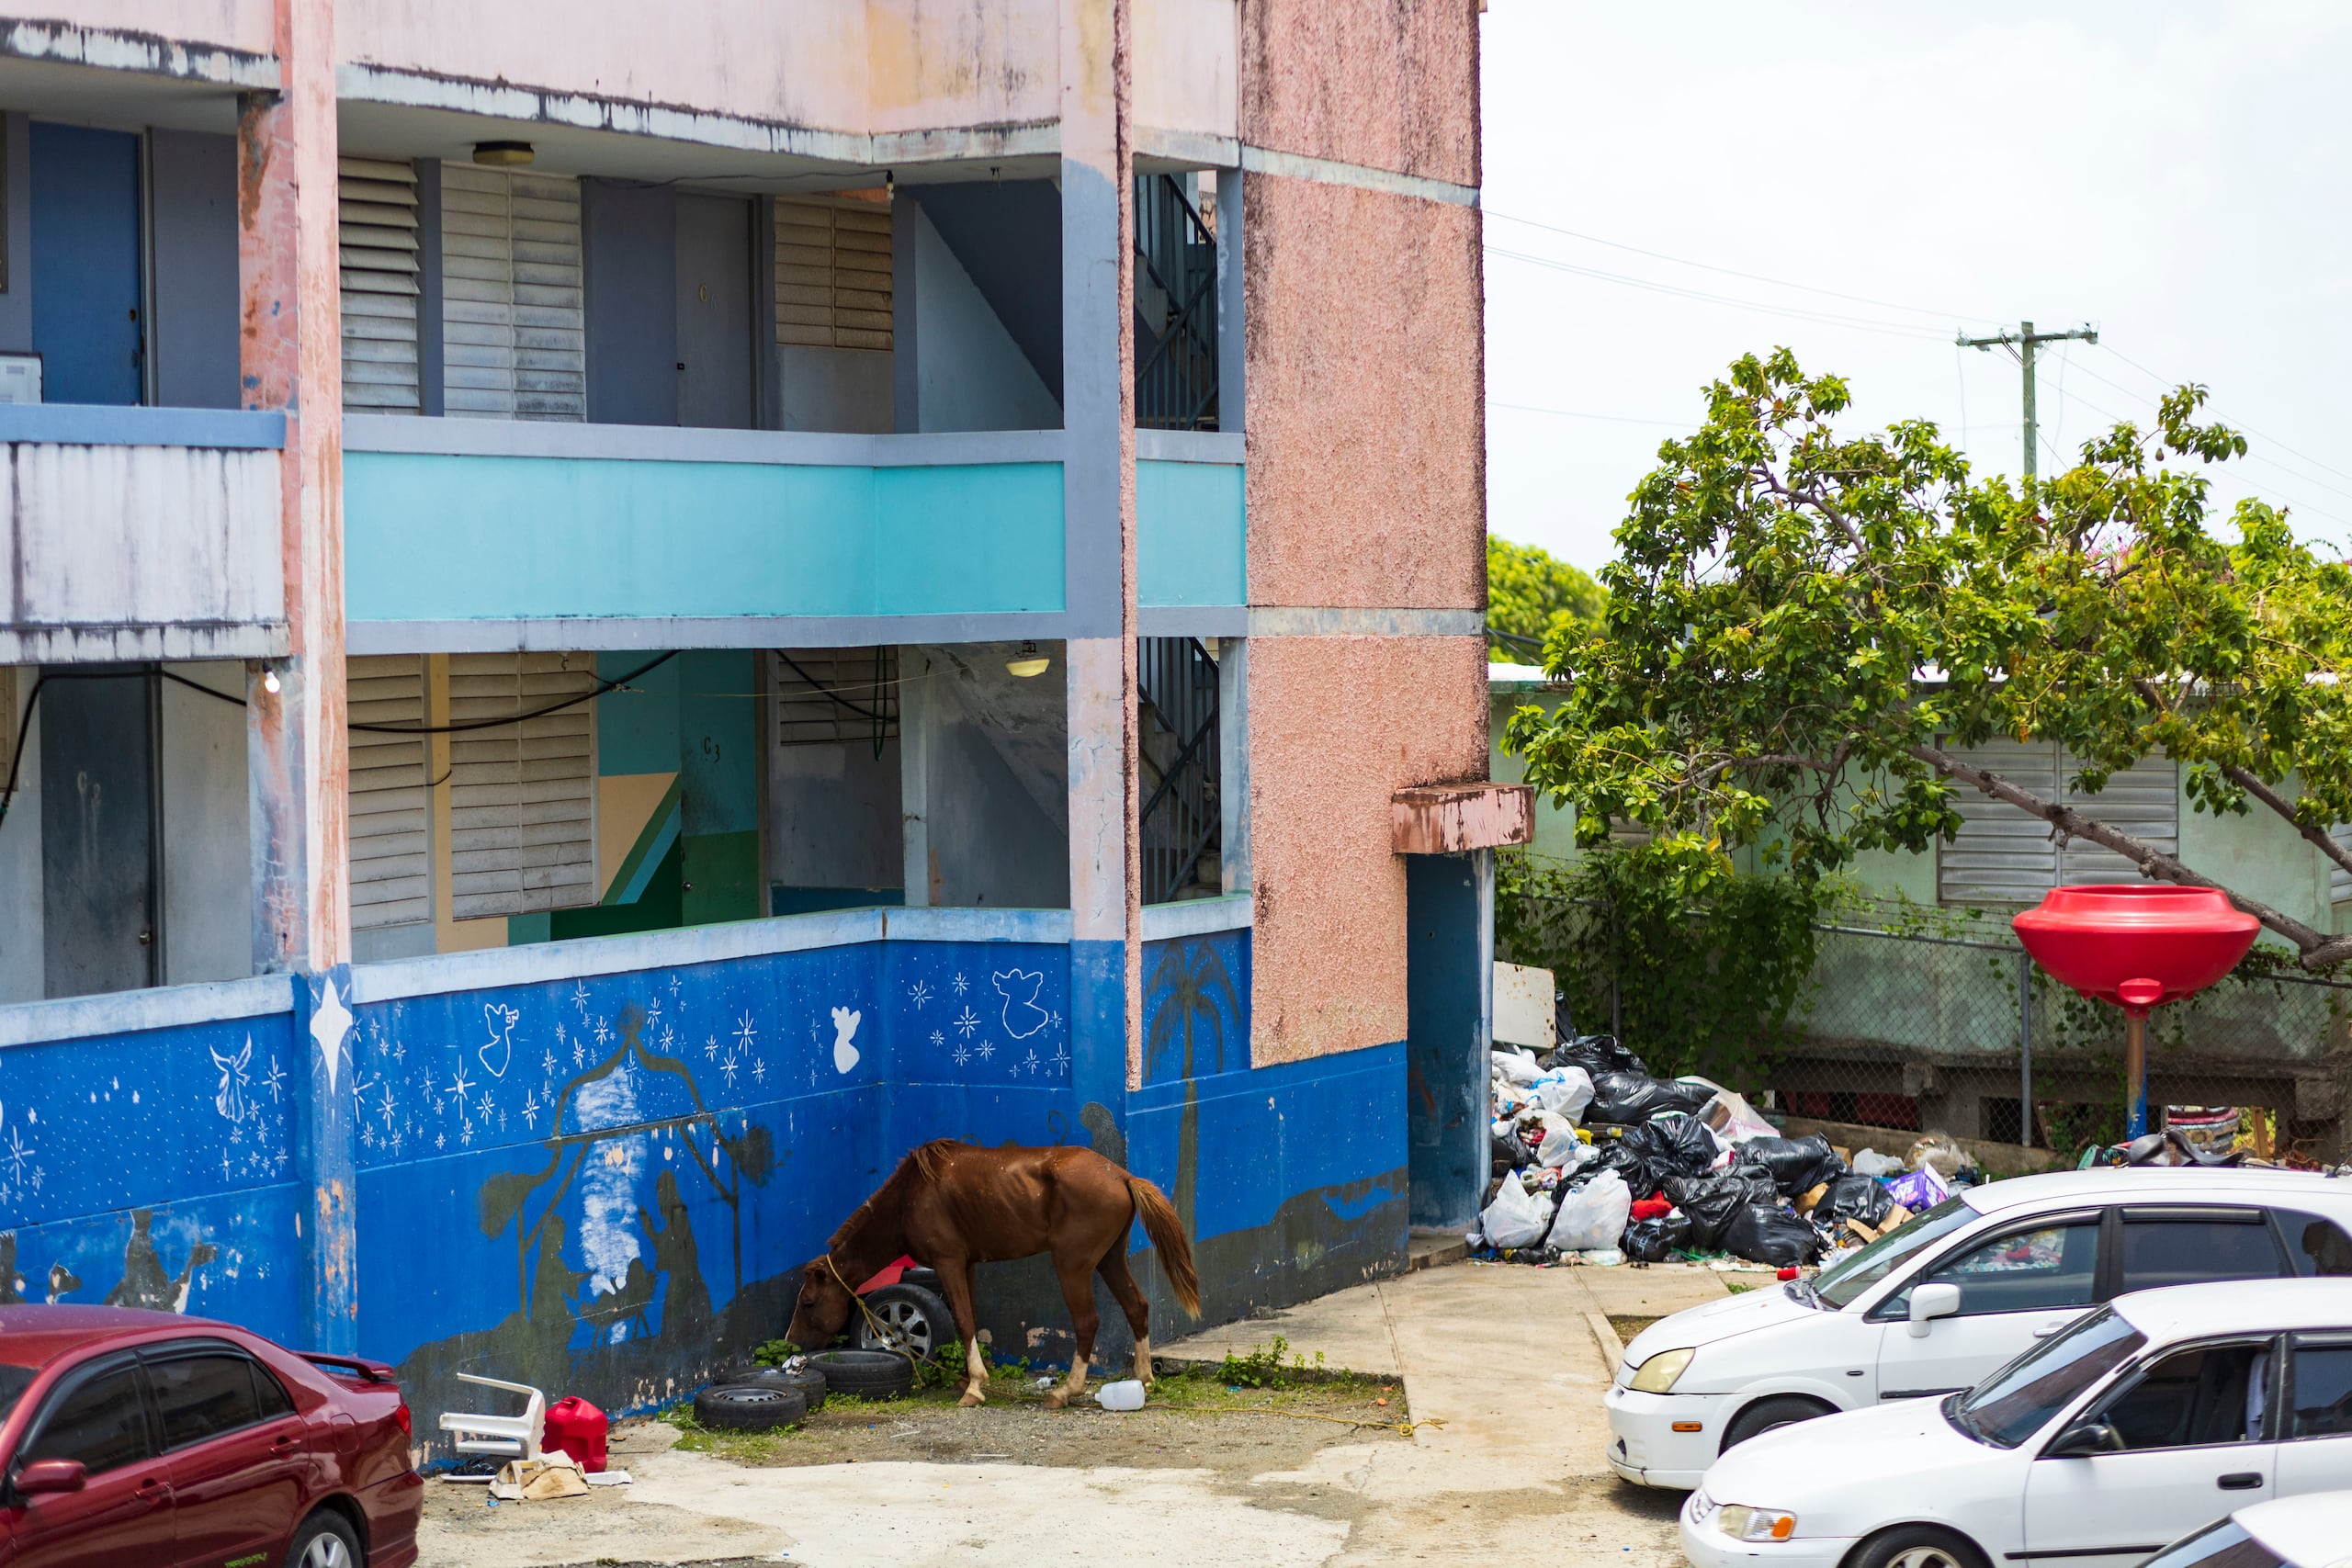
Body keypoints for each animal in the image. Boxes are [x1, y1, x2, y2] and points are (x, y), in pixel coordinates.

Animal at [786, 1142, 1204, 1410]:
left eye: (808, 1303)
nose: (792, 1344)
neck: (909, 1197)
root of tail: (1121, 1175)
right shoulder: (967, 1265)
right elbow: (966, 1317)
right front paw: (966, 1377)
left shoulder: (949, 1262)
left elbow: (965, 1321)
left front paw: (974, 1386)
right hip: (1110, 1260)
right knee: (1137, 1307)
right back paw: (1144, 1378)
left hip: (1073, 1266)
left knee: (1087, 1322)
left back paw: (1065, 1392)